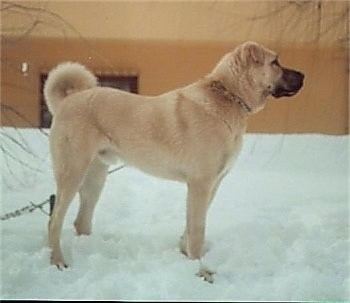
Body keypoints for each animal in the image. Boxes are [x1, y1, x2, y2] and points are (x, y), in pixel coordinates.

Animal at [45, 40, 304, 282]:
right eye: (275, 62)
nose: (303, 75)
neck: (228, 96)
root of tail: (68, 101)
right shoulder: (200, 184)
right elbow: (197, 230)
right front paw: (201, 271)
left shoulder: (212, 184)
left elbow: (190, 227)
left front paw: (185, 254)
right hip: (72, 173)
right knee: (54, 221)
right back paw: (58, 261)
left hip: (95, 178)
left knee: (81, 221)